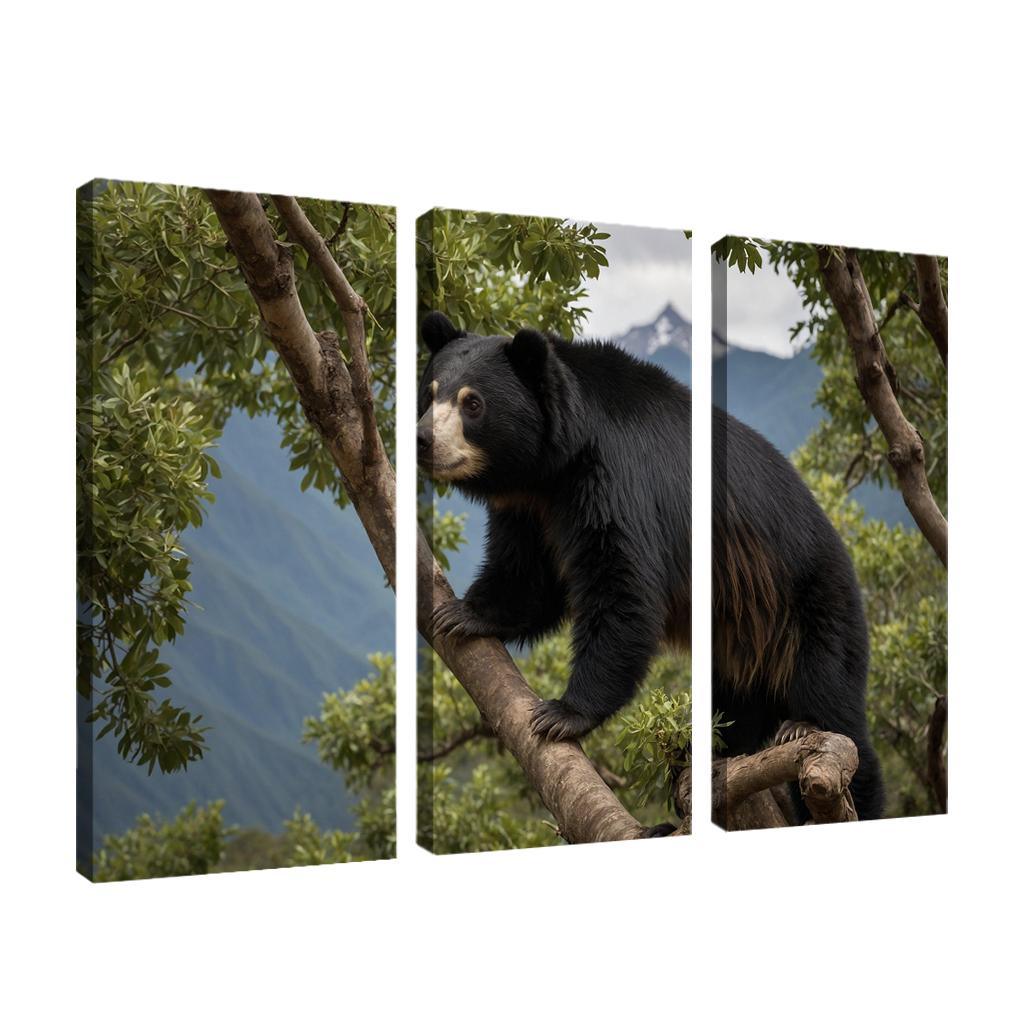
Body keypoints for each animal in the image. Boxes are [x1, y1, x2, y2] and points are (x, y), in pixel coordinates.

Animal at [417, 310, 884, 823]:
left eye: (472, 403)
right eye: (430, 391)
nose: (422, 439)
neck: (555, 464)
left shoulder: (617, 478)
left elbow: (623, 587)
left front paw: (561, 713)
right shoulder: (531, 506)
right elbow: (529, 575)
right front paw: (462, 614)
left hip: (807, 604)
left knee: (834, 699)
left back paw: (809, 740)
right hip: (739, 635)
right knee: (739, 701)